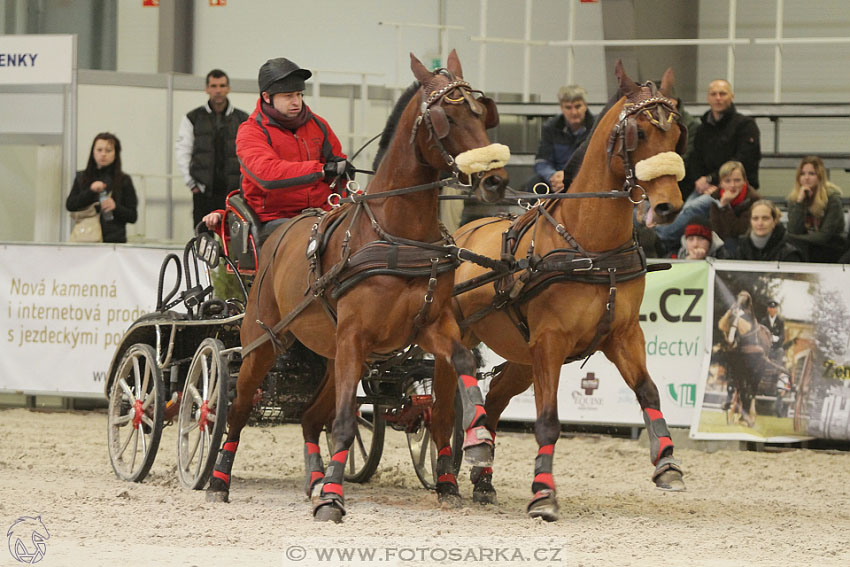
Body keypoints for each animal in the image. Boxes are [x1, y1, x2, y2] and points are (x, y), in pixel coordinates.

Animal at [206, 51, 506, 520]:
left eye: (482, 113)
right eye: (448, 118)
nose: (495, 180)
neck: (397, 234)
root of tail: (273, 237)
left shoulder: (429, 326)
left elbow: (460, 365)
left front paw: (477, 440)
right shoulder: (355, 336)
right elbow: (346, 420)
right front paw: (333, 497)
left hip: (332, 354)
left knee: (311, 417)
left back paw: (313, 479)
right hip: (264, 340)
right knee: (237, 409)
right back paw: (219, 479)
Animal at [434, 61, 684, 520]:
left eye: (676, 132)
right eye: (639, 132)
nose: (667, 206)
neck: (590, 246)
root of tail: (457, 237)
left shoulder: (622, 335)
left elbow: (648, 390)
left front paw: (667, 462)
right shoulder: (550, 341)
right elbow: (548, 420)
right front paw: (543, 494)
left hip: (521, 355)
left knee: (493, 402)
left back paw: (483, 476)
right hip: (460, 341)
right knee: (443, 411)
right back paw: (446, 481)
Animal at [716, 292, 768, 426]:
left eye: (744, 317)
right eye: (730, 315)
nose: (731, 341)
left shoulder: (751, 370)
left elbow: (746, 392)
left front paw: (744, 418)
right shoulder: (734, 367)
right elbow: (732, 386)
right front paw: (730, 408)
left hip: (758, 372)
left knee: (752, 390)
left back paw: (749, 416)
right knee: (740, 389)